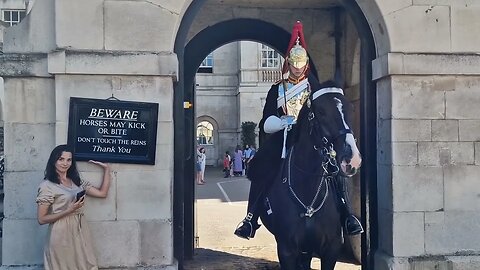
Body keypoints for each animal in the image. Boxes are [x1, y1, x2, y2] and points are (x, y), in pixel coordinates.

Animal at [256, 86, 362, 270]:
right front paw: (287, 122)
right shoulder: (286, 249)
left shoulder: (331, 248)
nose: (352, 159)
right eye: (321, 111)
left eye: (351, 108)